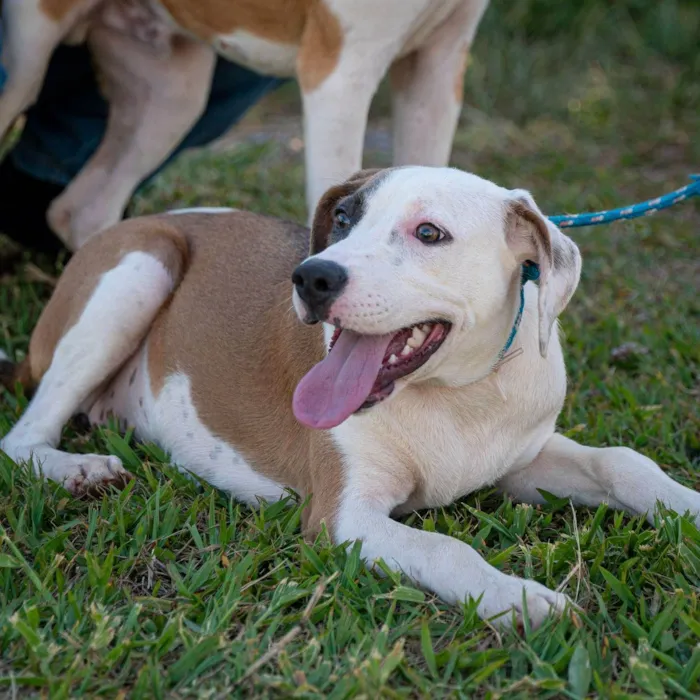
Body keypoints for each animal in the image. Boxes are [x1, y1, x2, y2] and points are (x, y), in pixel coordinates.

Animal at [2, 167, 696, 628]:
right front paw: (519, 598)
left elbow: (623, 462)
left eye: (429, 233)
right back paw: (79, 469)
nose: (311, 276)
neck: (455, 396)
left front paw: (685, 506)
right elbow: (446, 548)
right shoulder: (344, 517)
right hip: (141, 267)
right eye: (342, 219)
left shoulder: (522, 461)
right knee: (22, 436)